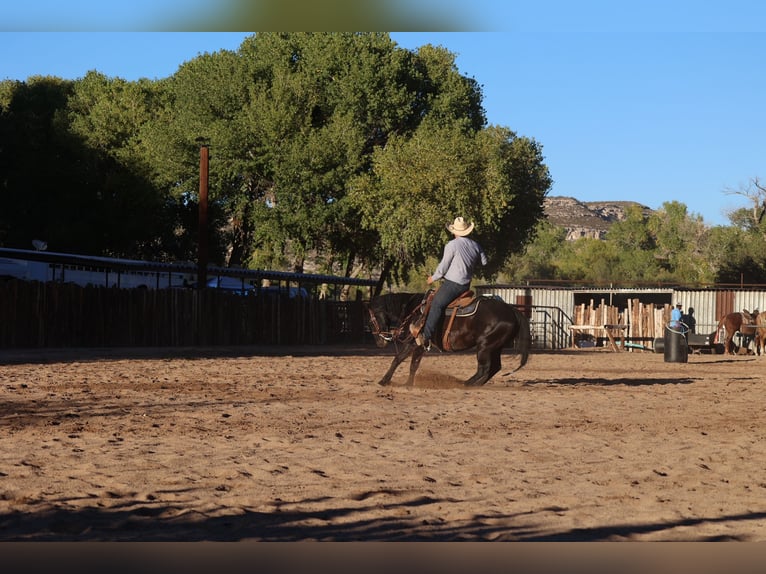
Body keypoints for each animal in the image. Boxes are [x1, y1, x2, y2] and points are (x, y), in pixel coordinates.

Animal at [368, 292, 532, 388]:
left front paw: (384, 381)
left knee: (484, 368)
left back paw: (465, 383)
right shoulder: (420, 345)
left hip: (484, 346)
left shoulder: (412, 342)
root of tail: (512, 310)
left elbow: (397, 359)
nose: (379, 343)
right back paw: (473, 384)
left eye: (370, 321)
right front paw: (408, 384)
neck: (414, 309)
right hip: (495, 347)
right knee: (494, 367)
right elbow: (413, 365)